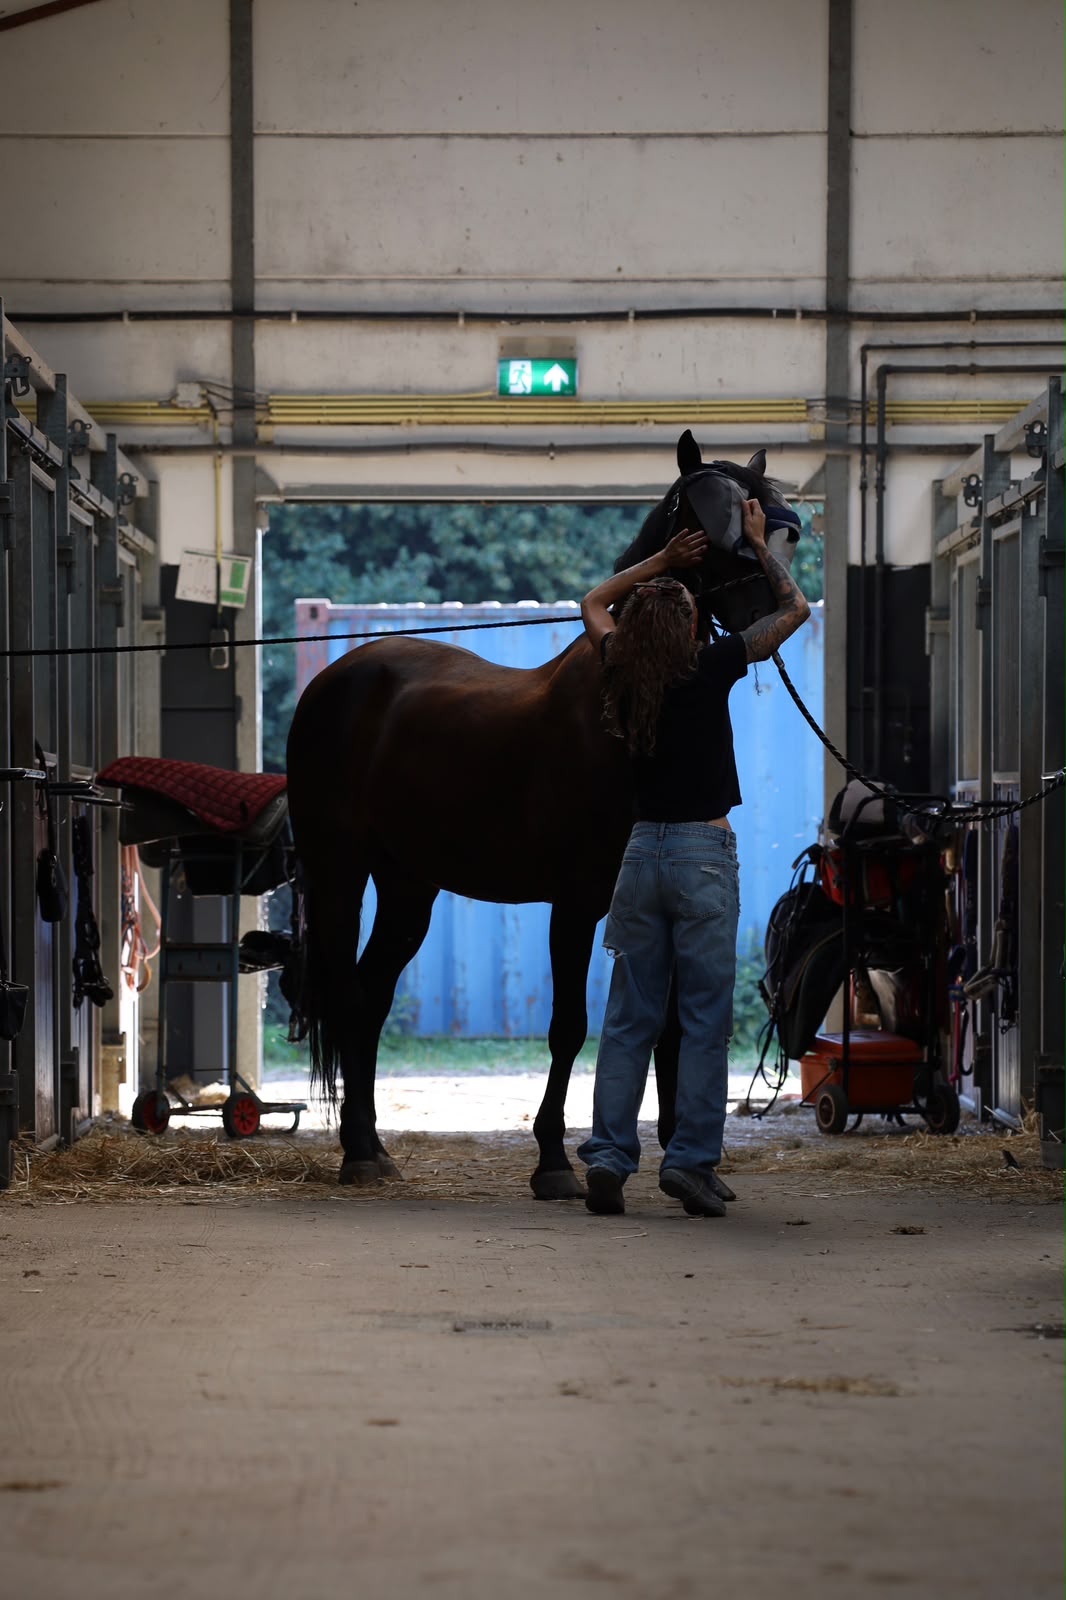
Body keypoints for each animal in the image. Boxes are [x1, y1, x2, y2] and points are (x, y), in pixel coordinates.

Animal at [285, 430, 796, 1194]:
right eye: (707, 516)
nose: (765, 614)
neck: (624, 694)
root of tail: (333, 681)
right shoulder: (577, 901)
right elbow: (569, 1027)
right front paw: (554, 1161)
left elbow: (672, 1029)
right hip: (340, 873)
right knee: (350, 996)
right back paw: (356, 1155)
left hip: (409, 885)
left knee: (371, 996)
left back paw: (371, 1145)